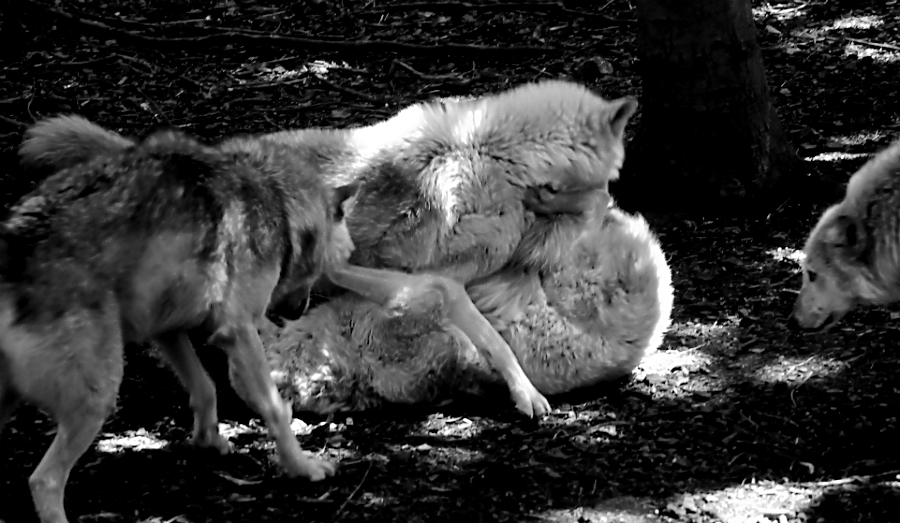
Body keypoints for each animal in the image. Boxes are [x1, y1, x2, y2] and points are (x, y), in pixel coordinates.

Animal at [0, 127, 366, 523]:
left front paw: (209, 440)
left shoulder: (167, 329)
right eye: (335, 264)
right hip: (97, 397)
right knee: (44, 480)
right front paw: (302, 466)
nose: (298, 311)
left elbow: (205, 388)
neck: (277, 199)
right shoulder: (239, 331)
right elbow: (274, 408)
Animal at [17, 79, 639, 419]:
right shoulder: (382, 269)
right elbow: (468, 319)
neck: (499, 161)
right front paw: (525, 393)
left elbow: (473, 316)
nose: (614, 206)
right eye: (610, 177)